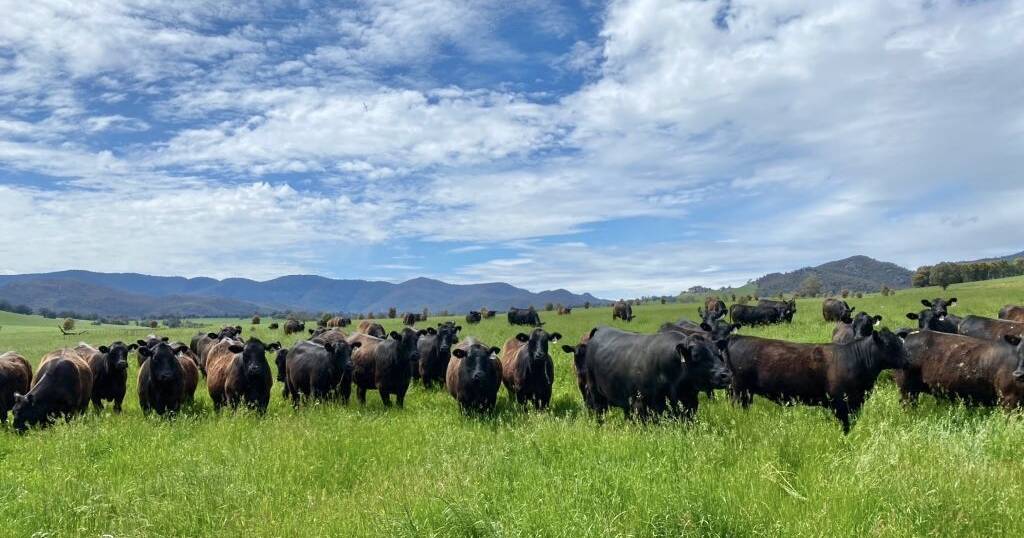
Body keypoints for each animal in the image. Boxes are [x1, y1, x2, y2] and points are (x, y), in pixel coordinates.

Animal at [581, 327, 733, 420]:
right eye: (696, 355)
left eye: (718, 353)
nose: (726, 375)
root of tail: (600, 329)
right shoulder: (640, 405)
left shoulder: (689, 403)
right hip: (596, 393)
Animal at [724, 327, 909, 432]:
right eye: (889, 345)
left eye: (901, 342)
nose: (908, 360)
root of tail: (736, 338)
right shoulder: (840, 403)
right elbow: (846, 426)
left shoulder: (857, 403)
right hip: (739, 391)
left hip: (745, 393)